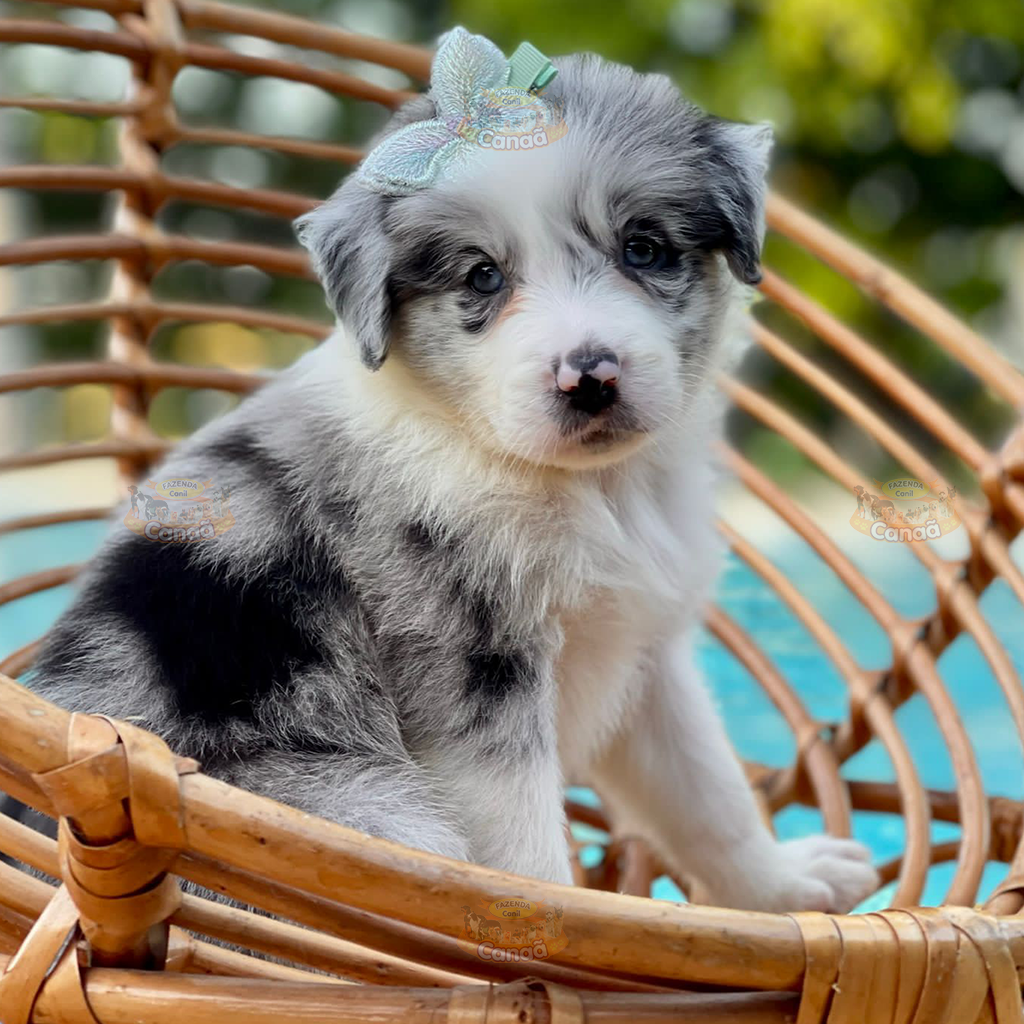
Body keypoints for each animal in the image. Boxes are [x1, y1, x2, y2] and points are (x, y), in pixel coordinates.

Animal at [24, 29, 876, 913]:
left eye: (643, 247)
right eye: (482, 276)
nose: (590, 377)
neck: (584, 487)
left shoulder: (644, 650)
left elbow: (707, 792)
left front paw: (786, 885)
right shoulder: (474, 674)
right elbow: (524, 860)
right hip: (373, 803)